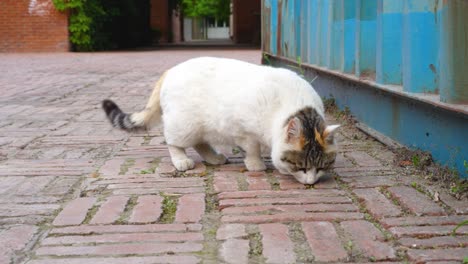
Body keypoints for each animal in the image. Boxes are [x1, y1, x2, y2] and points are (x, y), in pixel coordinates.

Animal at [102, 56, 338, 185]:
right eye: (301, 167)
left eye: (322, 166)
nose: (311, 183)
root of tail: (171, 70)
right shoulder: (244, 131)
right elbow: (252, 149)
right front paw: (256, 165)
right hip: (184, 126)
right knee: (173, 142)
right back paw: (181, 160)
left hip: (202, 128)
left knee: (200, 144)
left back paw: (214, 158)